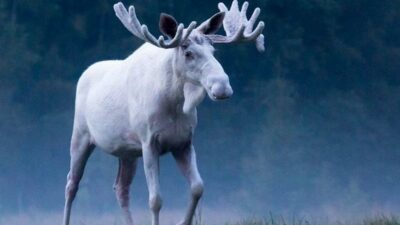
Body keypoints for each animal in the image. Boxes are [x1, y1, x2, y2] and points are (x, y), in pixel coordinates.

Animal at [62, 0, 264, 225]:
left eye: (213, 50)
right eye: (188, 52)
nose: (222, 87)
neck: (174, 104)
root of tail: (84, 74)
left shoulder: (183, 142)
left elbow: (198, 187)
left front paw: (182, 221)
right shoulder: (149, 142)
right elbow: (155, 199)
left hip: (127, 151)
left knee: (121, 188)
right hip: (80, 136)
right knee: (71, 184)